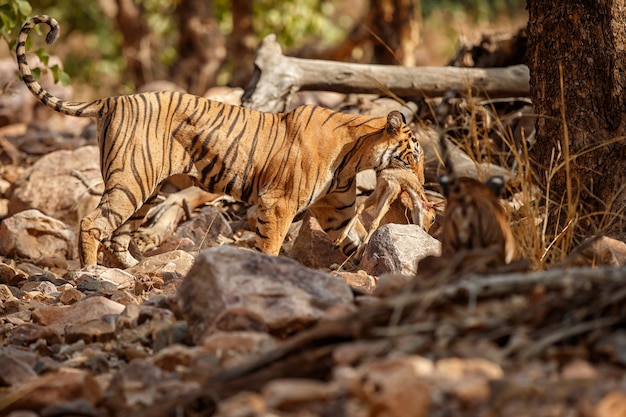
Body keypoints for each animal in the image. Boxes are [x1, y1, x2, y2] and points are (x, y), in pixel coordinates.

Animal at [15, 15, 424, 266]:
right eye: (413, 157)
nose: (421, 183)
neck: (356, 156)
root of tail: (113, 98)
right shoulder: (278, 204)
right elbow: (272, 243)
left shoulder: (337, 211)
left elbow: (356, 235)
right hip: (131, 182)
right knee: (92, 224)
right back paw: (92, 273)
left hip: (147, 190)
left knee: (119, 234)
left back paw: (130, 268)